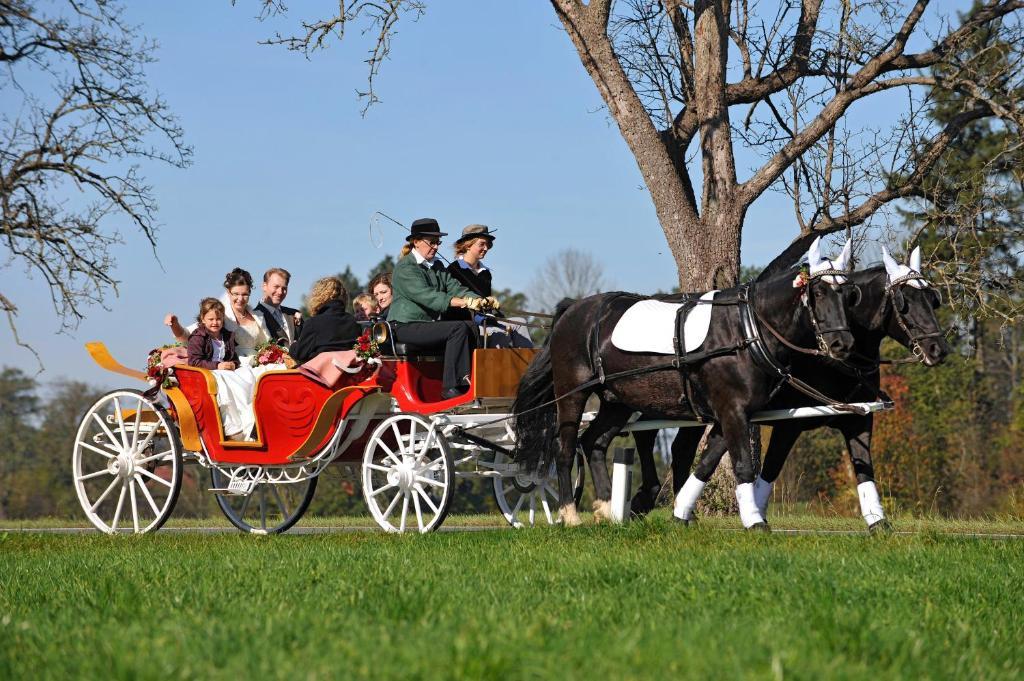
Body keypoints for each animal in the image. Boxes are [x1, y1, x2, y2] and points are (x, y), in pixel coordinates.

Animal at [512, 241, 856, 528]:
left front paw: (681, 513)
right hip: (572, 393)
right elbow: (742, 466)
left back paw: (608, 510)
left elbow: (704, 464)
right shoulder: (732, 412)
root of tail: (573, 309)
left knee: (594, 442)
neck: (746, 329)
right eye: (819, 293)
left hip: (616, 401)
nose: (843, 343)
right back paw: (570, 515)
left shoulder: (729, 415)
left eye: (847, 294)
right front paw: (756, 522)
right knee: (565, 448)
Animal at [630, 246, 950, 528]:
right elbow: (770, 469)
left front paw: (878, 523)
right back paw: (647, 499)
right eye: (904, 301)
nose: (939, 349)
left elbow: (864, 468)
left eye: (932, 299)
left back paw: (680, 510)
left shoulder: (858, 418)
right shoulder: (788, 424)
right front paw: (757, 515)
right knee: (647, 435)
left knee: (680, 447)